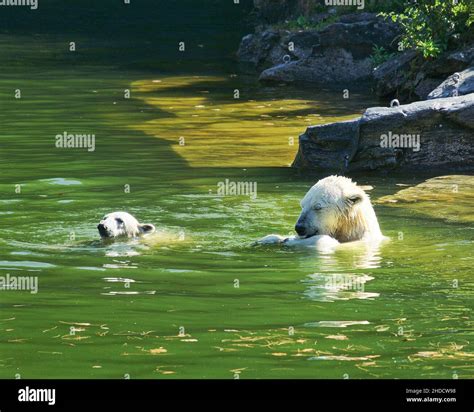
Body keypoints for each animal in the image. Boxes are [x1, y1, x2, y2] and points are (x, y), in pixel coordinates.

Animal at [256, 175, 386, 249]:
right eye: (302, 205)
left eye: (317, 207)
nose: (299, 228)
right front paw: (271, 238)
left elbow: (324, 241)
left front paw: (289, 240)